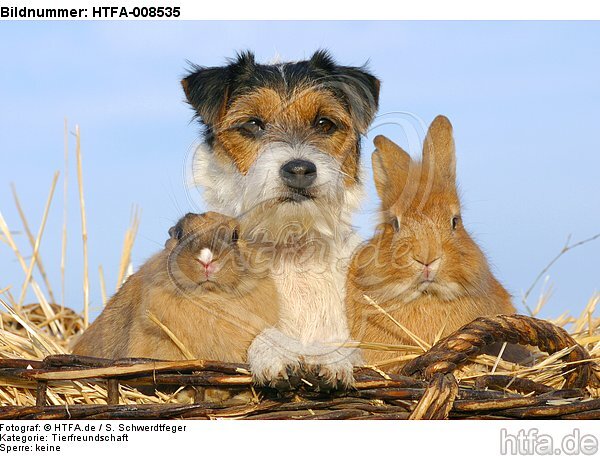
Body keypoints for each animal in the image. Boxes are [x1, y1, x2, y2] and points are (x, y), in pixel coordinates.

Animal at [184, 51, 380, 390]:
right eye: (253, 124)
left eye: (324, 123)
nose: (299, 169)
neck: (292, 247)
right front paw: (274, 351)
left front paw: (330, 357)